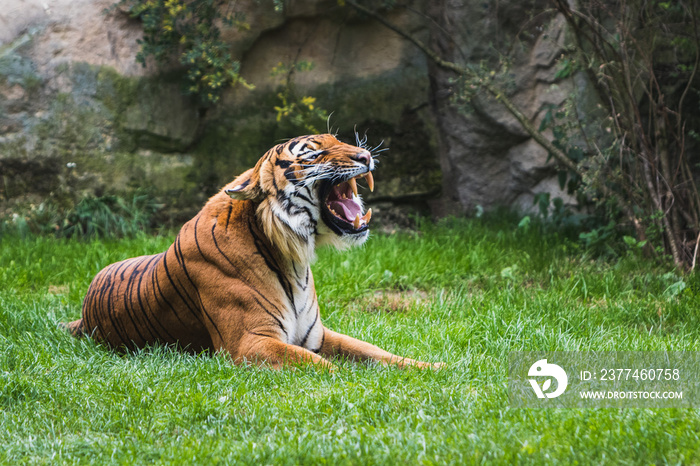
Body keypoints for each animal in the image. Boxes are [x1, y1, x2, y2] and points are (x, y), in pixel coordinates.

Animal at [63, 133, 440, 370]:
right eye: (314, 153)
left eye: (341, 141)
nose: (365, 156)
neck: (292, 258)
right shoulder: (251, 342)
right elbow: (323, 366)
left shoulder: (317, 335)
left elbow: (375, 351)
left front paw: (434, 367)